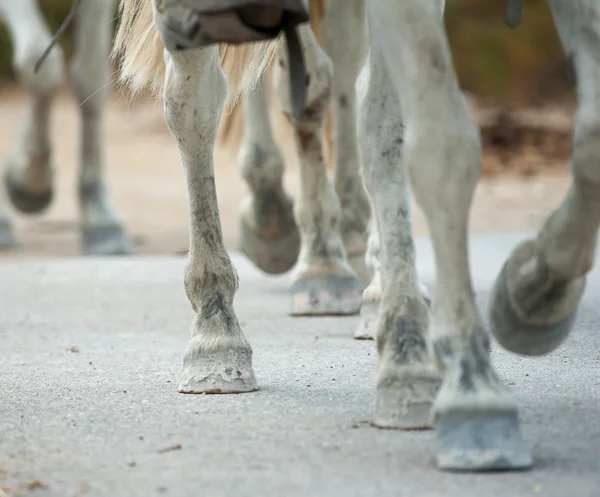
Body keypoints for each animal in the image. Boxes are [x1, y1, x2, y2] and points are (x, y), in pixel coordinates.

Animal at [111, 0, 596, 472]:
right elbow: (437, 143)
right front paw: (457, 383)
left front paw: (531, 294)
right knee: (201, 97)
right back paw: (225, 322)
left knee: (343, 69)